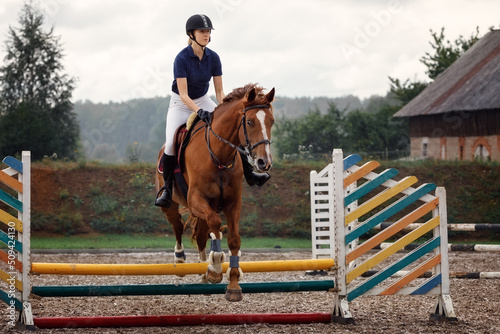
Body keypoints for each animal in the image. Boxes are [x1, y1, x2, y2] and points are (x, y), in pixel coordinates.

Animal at [155, 84, 276, 302]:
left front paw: (233, 284)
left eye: (271, 121)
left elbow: (233, 238)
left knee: (202, 235)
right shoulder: (195, 199)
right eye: (249, 121)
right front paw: (216, 267)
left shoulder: (233, 202)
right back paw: (181, 260)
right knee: (178, 226)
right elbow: (216, 223)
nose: (265, 163)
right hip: (171, 205)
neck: (219, 155)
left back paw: (204, 270)